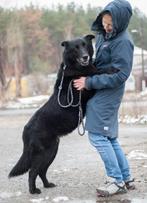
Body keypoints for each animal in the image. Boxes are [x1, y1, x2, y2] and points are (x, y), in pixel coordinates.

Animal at [8, 34, 117, 194]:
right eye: (76, 48)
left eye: (85, 45)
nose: (85, 56)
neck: (74, 67)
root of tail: (26, 130)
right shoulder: (86, 87)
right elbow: (97, 72)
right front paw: (112, 68)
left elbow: (96, 69)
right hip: (42, 153)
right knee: (32, 172)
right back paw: (33, 190)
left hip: (52, 151)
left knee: (41, 171)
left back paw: (47, 185)